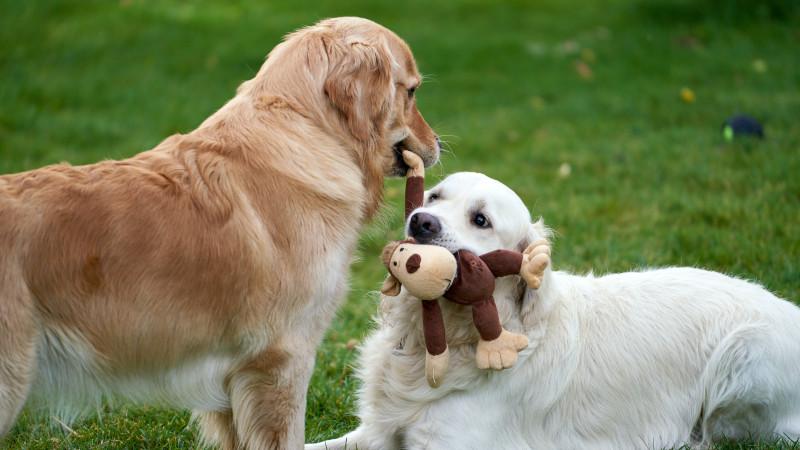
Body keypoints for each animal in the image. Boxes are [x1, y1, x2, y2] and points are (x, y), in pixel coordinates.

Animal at [306, 172, 800, 450]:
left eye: (481, 220)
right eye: (434, 197)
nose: (420, 222)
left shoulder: (448, 443)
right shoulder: (375, 432)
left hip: (743, 357)